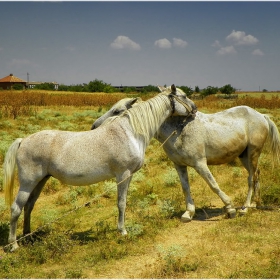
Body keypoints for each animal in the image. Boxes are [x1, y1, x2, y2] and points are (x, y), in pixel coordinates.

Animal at [3, 86, 197, 252]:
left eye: (117, 110)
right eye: (184, 96)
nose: (195, 109)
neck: (130, 132)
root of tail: (23, 140)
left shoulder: (129, 176)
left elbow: (124, 201)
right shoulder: (123, 174)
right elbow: (121, 203)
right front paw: (122, 231)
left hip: (40, 181)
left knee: (29, 206)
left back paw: (28, 237)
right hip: (28, 182)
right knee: (16, 209)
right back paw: (14, 245)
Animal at [92, 86, 280, 222]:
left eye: (117, 111)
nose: (94, 126)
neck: (179, 130)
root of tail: (261, 115)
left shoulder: (200, 163)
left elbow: (213, 184)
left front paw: (230, 208)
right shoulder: (179, 165)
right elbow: (185, 187)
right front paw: (188, 213)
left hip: (253, 153)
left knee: (251, 178)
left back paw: (245, 208)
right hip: (244, 156)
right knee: (256, 175)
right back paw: (255, 203)